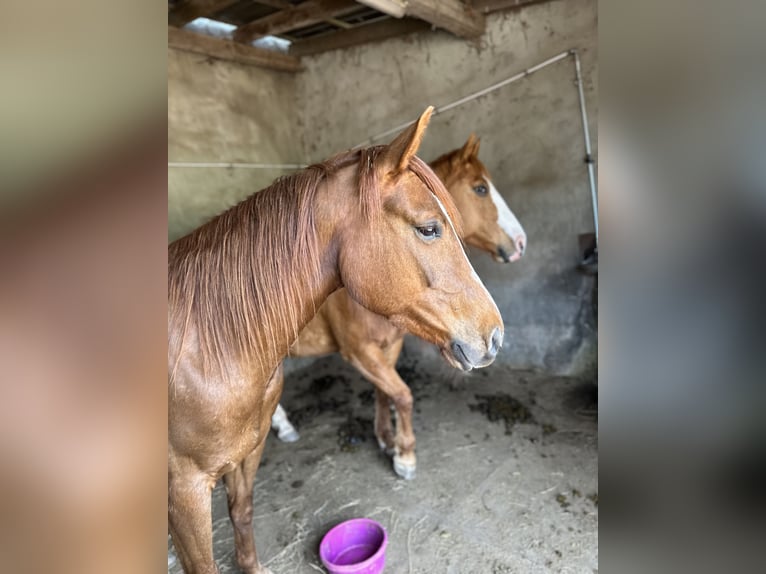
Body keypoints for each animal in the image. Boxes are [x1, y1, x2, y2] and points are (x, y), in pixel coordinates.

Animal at [269, 135, 527, 480]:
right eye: (480, 188)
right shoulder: (360, 351)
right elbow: (403, 395)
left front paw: (386, 439)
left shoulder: (388, 346)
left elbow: (386, 393)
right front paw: (405, 456)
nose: (521, 242)